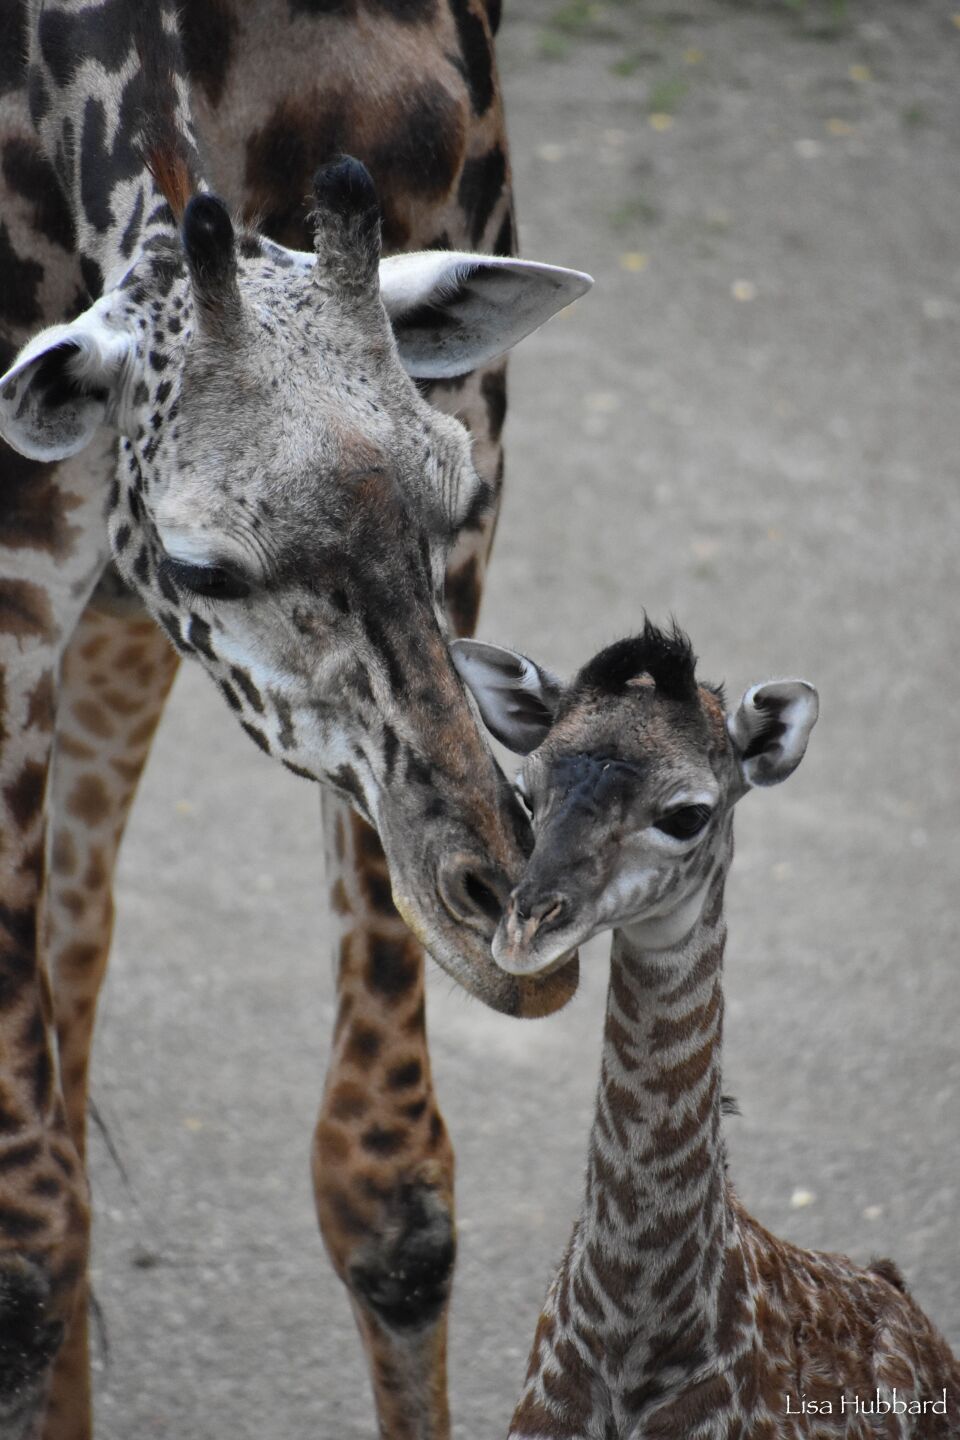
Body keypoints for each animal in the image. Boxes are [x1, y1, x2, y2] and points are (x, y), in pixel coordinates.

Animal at [0, 5, 587, 1434]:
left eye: (447, 498)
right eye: (205, 565)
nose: (509, 916)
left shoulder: (471, 419)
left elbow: (391, 1191)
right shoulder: (15, 575)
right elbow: (26, 1237)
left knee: (79, 952)